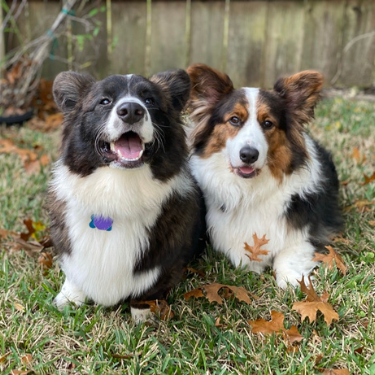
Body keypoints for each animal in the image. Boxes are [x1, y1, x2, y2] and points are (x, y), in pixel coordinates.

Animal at [49, 69, 206, 322]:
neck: (118, 190)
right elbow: (74, 274)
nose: (132, 110)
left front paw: (144, 314)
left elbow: (149, 288)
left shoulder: (163, 264)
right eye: (104, 101)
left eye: (150, 100)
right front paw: (69, 299)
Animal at [187, 64, 342, 288]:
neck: (251, 189)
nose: (249, 155)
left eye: (268, 123)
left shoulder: (307, 233)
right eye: (235, 120)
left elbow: (289, 253)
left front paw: (291, 279)